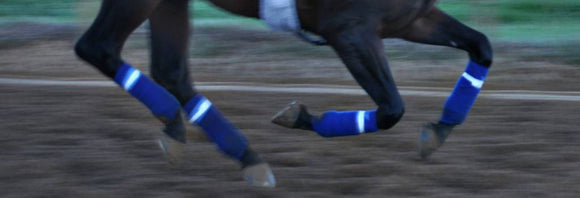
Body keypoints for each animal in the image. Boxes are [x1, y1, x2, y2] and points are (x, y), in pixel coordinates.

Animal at [75, 0, 494, 188]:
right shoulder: (350, 30)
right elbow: (392, 108)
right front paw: (300, 116)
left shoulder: (412, 17)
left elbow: (481, 47)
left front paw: (440, 130)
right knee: (97, 48)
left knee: (170, 70)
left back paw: (216, 145)